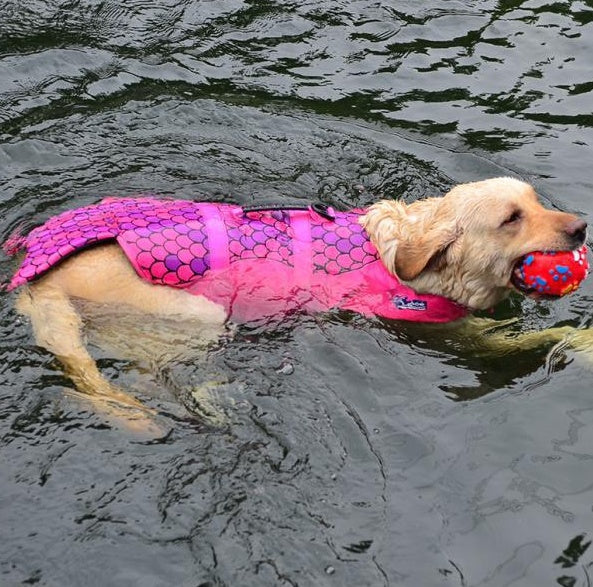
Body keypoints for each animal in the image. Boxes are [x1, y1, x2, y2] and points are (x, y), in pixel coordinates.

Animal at [6, 178, 588, 418]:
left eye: (536, 201)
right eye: (511, 219)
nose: (582, 227)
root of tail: (43, 282)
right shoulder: (443, 330)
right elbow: (535, 337)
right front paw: (583, 344)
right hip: (195, 314)